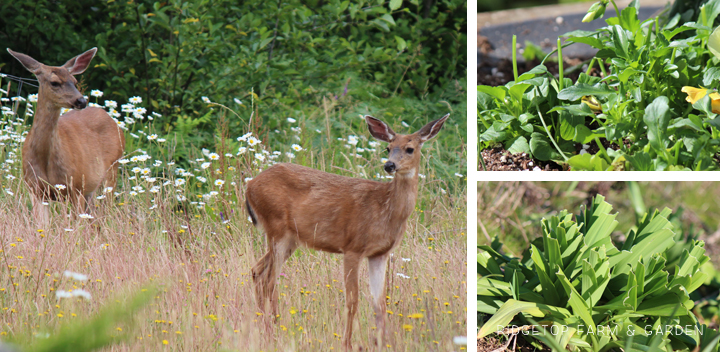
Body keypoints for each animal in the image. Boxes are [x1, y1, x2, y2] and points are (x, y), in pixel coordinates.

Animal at [8, 47, 125, 223]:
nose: (81, 101)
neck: (46, 161)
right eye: (54, 83)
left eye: (75, 82)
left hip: (111, 169)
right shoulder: (35, 189)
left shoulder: (76, 186)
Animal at [248, 113, 450, 350]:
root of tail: (249, 186)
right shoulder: (353, 247)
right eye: (388, 148)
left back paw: (265, 328)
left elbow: (380, 303)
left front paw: (382, 343)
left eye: (409, 149)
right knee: (270, 280)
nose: (389, 165)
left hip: (290, 239)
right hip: (277, 228)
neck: (386, 210)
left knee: (257, 271)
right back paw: (275, 331)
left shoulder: (380, 254)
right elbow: (352, 300)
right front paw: (347, 344)